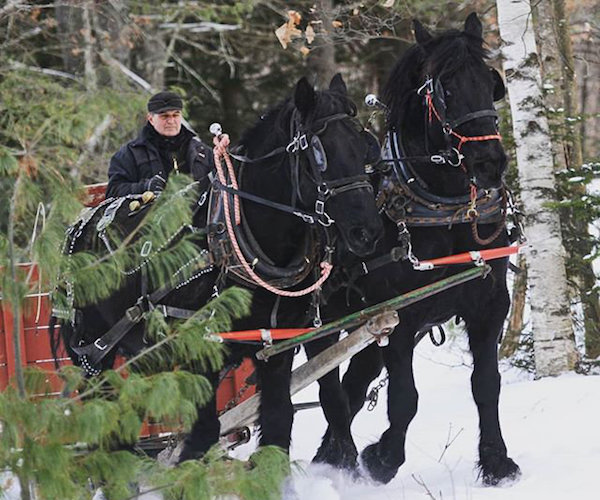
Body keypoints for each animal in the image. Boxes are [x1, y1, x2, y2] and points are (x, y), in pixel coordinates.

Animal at [49, 74, 382, 464]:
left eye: (364, 147)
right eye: (318, 153)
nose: (368, 231)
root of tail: (82, 222)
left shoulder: (276, 346)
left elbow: (278, 421)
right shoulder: (201, 350)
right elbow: (204, 433)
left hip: (142, 345)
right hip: (91, 347)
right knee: (101, 414)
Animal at [310, 13, 520, 486]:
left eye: (490, 82)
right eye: (444, 90)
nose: (490, 164)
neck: (444, 213)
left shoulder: (490, 304)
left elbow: (487, 384)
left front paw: (497, 461)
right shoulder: (399, 318)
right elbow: (405, 397)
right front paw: (383, 459)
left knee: (355, 381)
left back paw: (330, 454)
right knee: (327, 379)